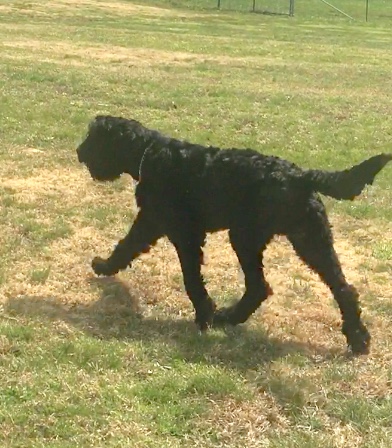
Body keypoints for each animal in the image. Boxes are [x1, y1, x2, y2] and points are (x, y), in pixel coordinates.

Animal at [77, 116, 392, 356]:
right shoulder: (151, 224)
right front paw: (105, 267)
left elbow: (190, 278)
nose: (79, 152)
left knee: (275, 287)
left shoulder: (184, 234)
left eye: (94, 138)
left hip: (259, 239)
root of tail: (300, 176)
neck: (148, 152)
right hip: (302, 238)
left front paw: (204, 314)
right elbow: (126, 247)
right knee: (328, 288)